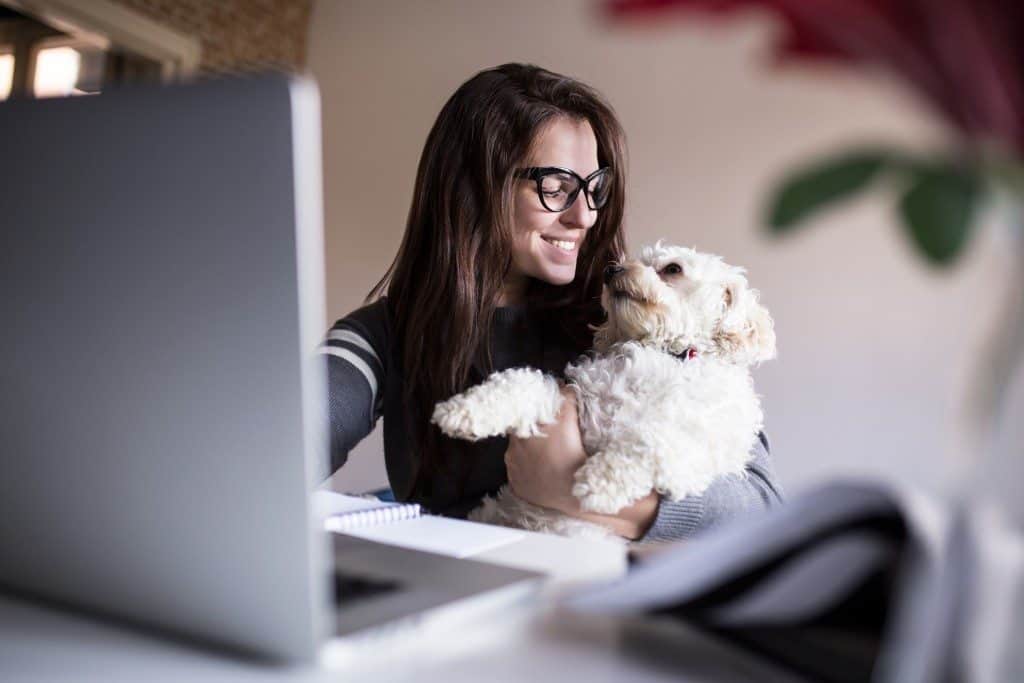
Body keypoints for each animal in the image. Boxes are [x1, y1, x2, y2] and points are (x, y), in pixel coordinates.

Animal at [428, 242, 770, 540]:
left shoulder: (698, 449)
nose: (611, 269)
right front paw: (464, 411)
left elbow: (652, 438)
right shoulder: (575, 399)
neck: (667, 353)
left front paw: (600, 481)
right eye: (634, 259)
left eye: (673, 268)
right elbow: (525, 383)